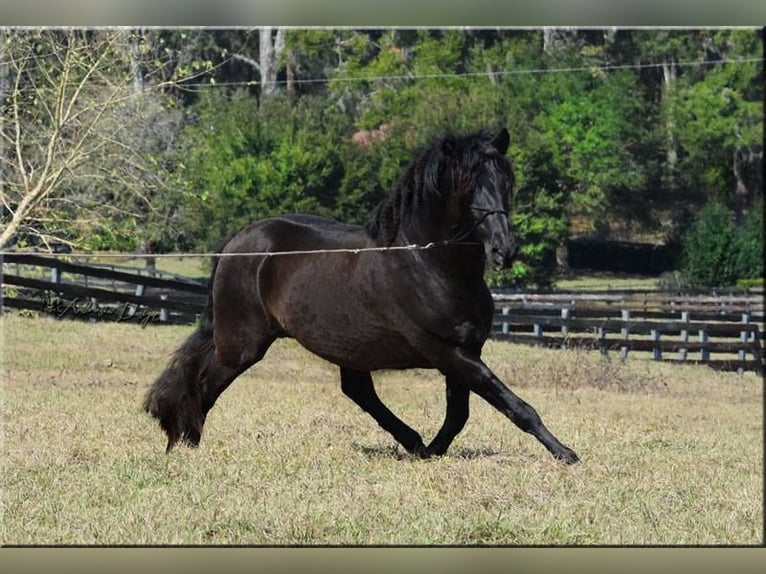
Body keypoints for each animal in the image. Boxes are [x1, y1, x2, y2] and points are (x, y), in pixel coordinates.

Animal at [144, 128, 580, 466]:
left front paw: (432, 451)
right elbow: (514, 406)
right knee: (205, 383)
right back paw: (189, 443)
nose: (504, 250)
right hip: (242, 345)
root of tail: (238, 244)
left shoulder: (464, 351)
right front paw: (566, 453)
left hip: (345, 347)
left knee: (358, 392)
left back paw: (412, 442)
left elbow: (459, 414)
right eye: (468, 185)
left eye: (506, 181)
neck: (429, 262)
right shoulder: (448, 353)